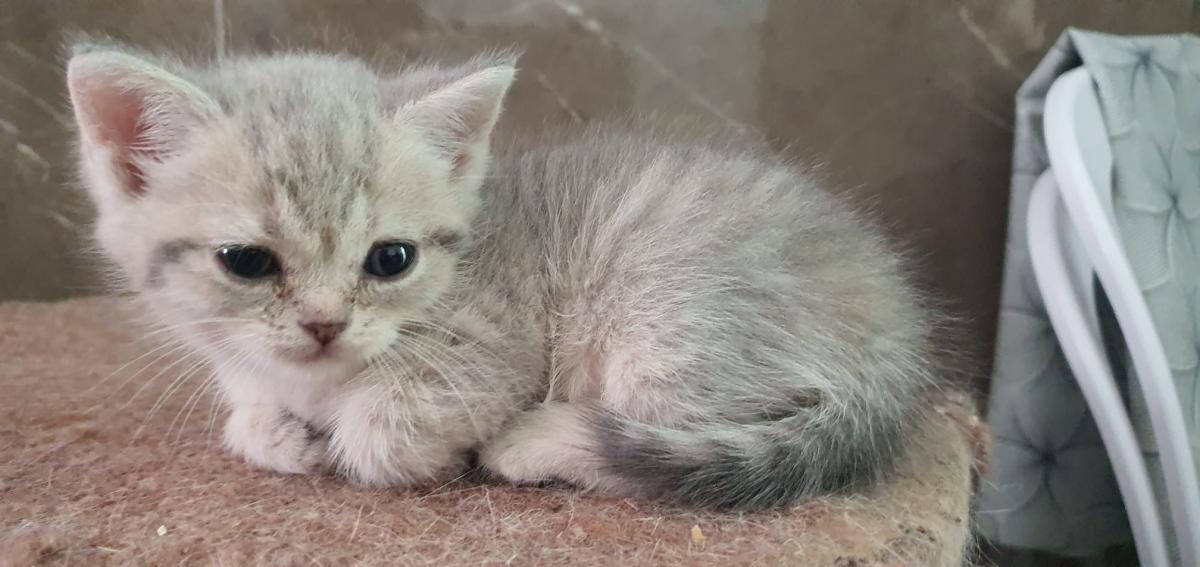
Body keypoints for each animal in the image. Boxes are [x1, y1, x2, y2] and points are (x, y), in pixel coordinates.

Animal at [66, 42, 946, 509]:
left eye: (391, 259)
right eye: (246, 262)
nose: (324, 323)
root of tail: (899, 341)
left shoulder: (496, 348)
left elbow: (381, 433)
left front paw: (351, 435)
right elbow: (246, 411)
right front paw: (273, 428)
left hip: (662, 326)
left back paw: (535, 442)